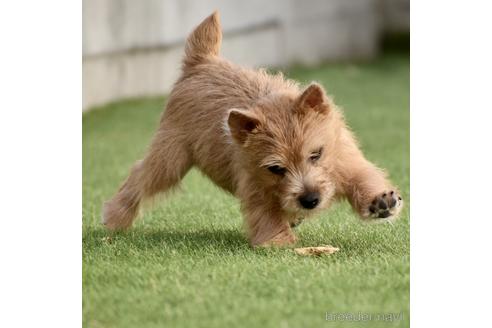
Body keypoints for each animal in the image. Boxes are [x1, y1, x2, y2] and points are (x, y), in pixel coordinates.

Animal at [102, 12, 402, 246]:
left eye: (316, 154)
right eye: (276, 168)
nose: (310, 200)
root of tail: (202, 62)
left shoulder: (346, 160)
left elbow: (363, 177)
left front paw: (381, 202)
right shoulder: (256, 187)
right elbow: (266, 214)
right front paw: (279, 242)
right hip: (170, 159)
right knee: (139, 178)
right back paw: (115, 217)